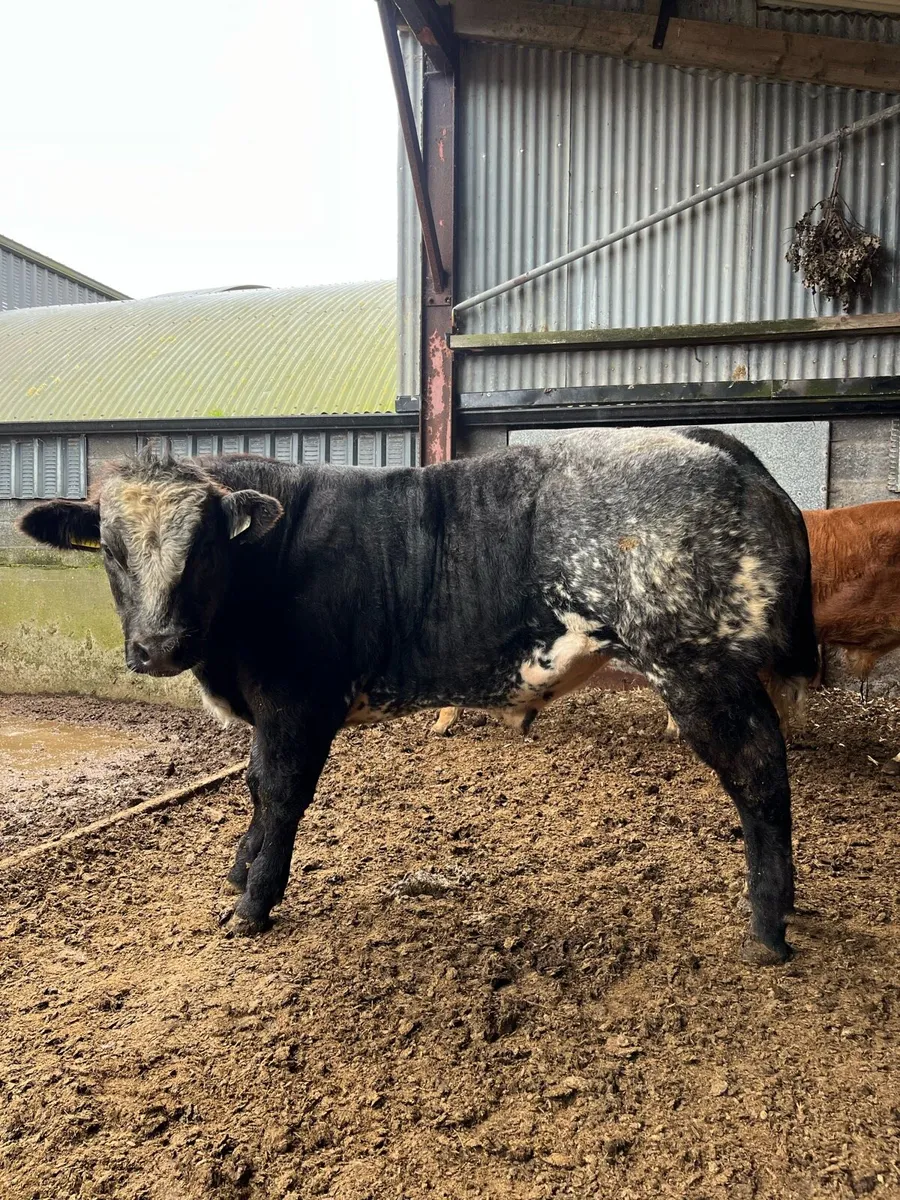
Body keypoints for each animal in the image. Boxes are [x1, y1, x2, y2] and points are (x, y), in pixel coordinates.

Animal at [19, 428, 818, 966]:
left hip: (698, 669)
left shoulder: (297, 704)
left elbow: (278, 792)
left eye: (206, 547)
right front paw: (240, 868)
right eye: (112, 551)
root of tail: (712, 445)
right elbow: (251, 786)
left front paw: (253, 901)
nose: (158, 647)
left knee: (760, 775)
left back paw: (767, 925)